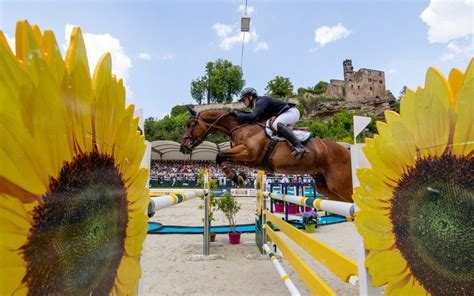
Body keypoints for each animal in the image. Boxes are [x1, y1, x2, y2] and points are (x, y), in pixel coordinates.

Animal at [180, 107, 354, 202]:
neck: (239, 127)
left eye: (191, 124)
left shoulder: (248, 153)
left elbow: (219, 155)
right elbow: (223, 157)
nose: (183, 147)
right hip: (326, 187)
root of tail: (348, 152)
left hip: (340, 185)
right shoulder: (249, 159)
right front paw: (240, 176)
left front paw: (236, 177)